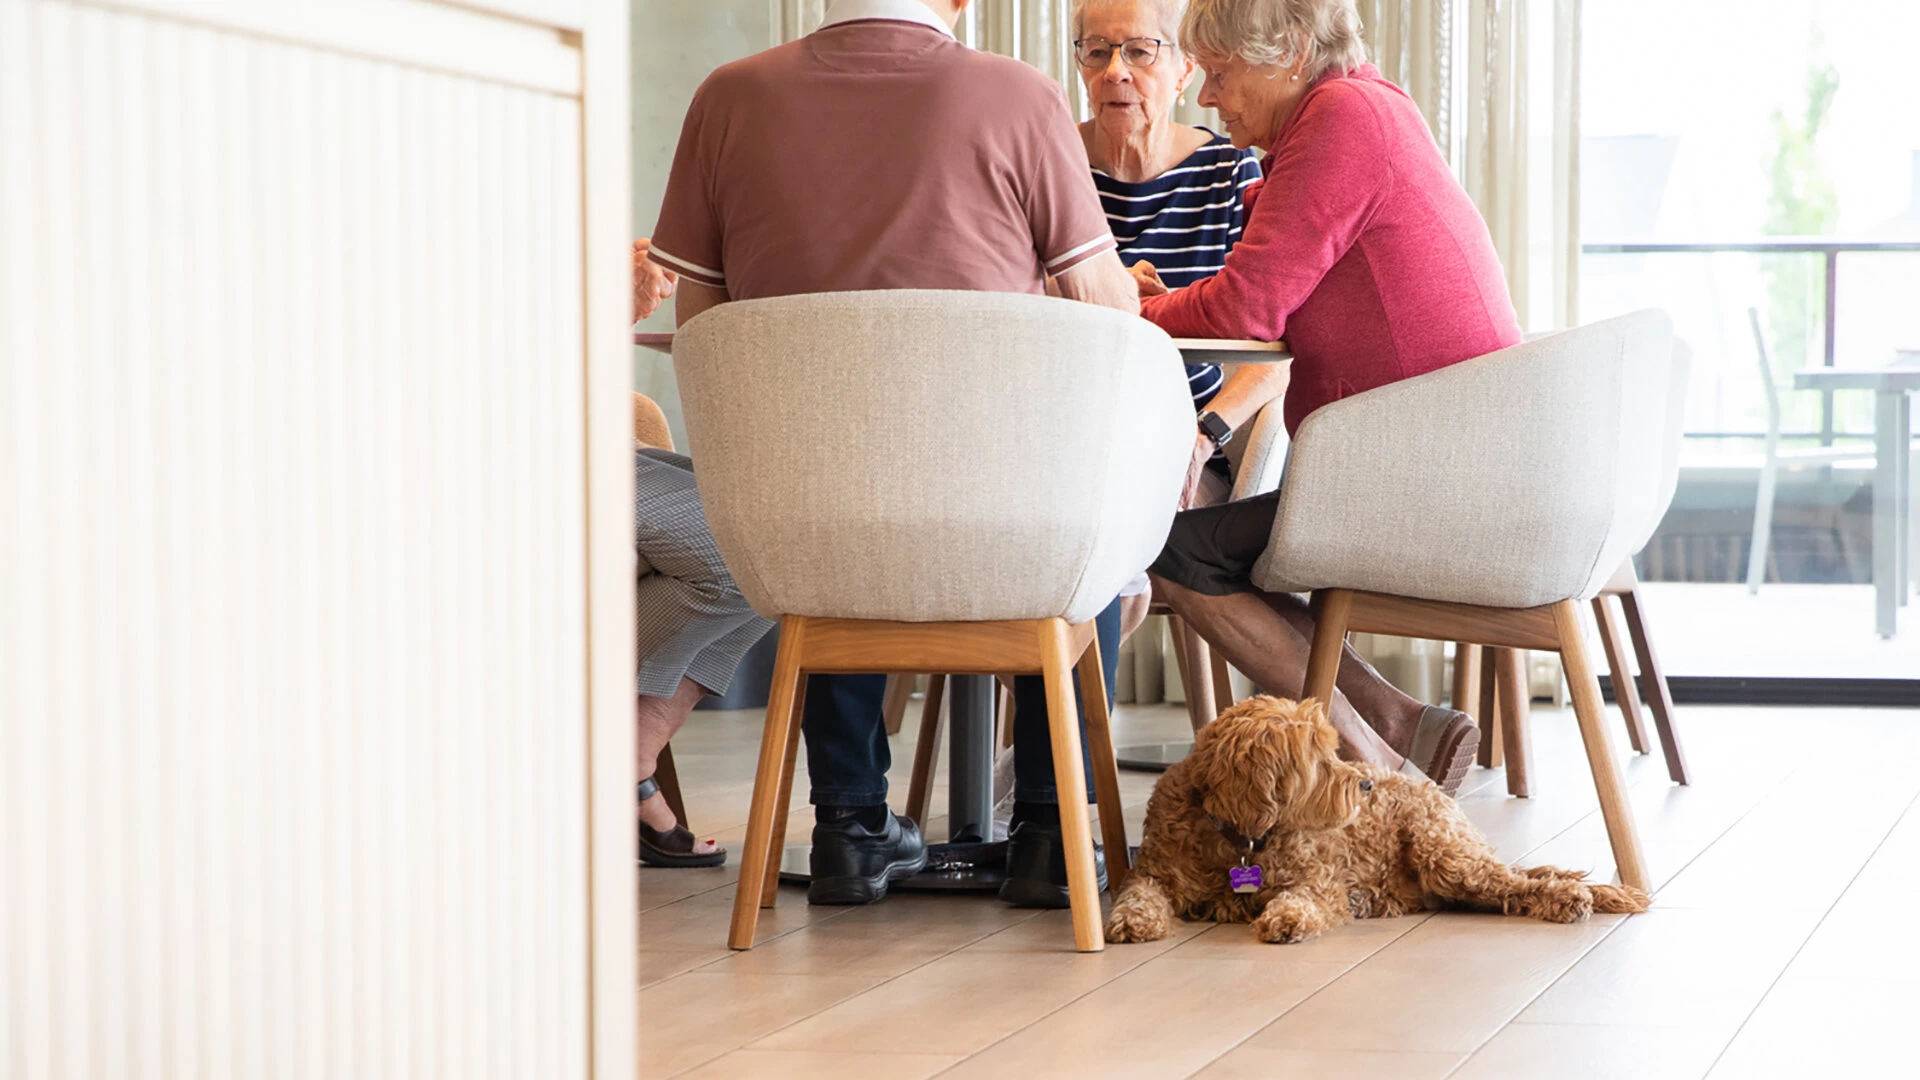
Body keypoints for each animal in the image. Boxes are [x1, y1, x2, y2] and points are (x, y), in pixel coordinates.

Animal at [1113, 691, 1651, 937]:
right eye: (1316, 760)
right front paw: (1133, 921)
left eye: (1333, 749)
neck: (1238, 837)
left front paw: (1286, 918)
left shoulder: (1320, 882)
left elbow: (1302, 899)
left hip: (1445, 854)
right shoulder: (1154, 871)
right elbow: (1140, 892)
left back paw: (1567, 897)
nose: (1366, 783)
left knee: (1516, 883)